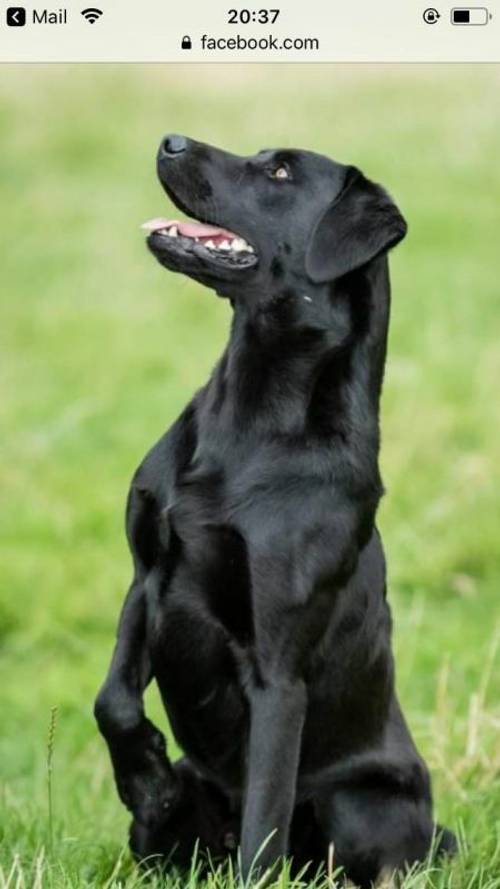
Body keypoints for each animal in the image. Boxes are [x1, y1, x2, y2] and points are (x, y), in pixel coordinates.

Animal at [94, 135, 458, 884]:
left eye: (282, 170)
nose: (170, 140)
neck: (253, 418)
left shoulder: (279, 667)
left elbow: (266, 815)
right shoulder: (147, 577)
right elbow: (111, 700)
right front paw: (147, 779)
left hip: (360, 802)